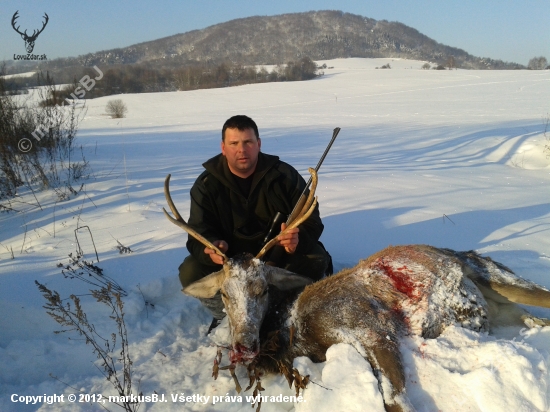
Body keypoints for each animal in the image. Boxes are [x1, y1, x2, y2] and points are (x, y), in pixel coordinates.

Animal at [163, 170, 550, 412]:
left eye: (262, 290)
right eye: (224, 295)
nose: (243, 346)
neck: (297, 330)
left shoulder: (369, 325)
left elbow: (395, 399)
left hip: (495, 274)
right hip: (503, 307)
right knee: (534, 320)